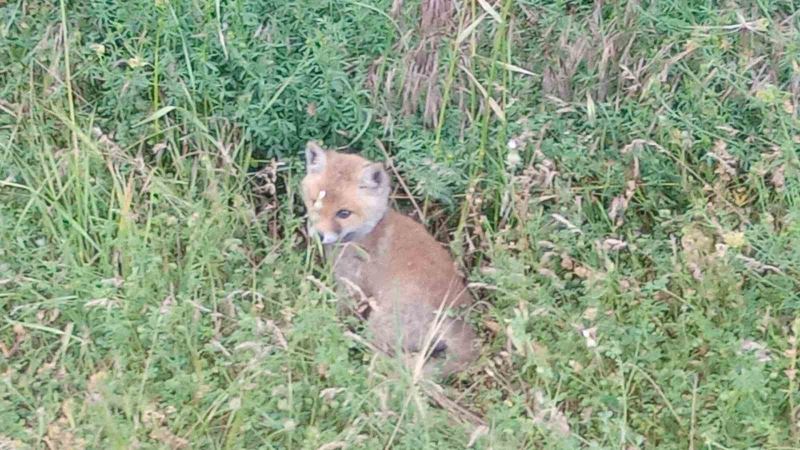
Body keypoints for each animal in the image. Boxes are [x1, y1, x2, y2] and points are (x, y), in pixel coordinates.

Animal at [298, 140, 476, 376]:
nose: (318, 235)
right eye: (315, 202)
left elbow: (340, 312)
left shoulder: (353, 288)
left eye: (344, 213)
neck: (367, 232)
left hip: (378, 325)